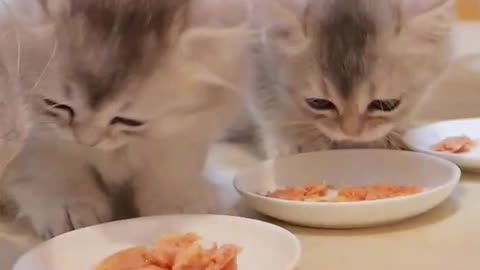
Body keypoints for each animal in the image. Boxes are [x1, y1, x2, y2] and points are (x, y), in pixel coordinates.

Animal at [225, 0, 454, 158]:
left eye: (388, 104)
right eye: (318, 103)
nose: (350, 133)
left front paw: (397, 134)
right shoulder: (257, 56)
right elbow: (269, 105)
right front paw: (295, 141)